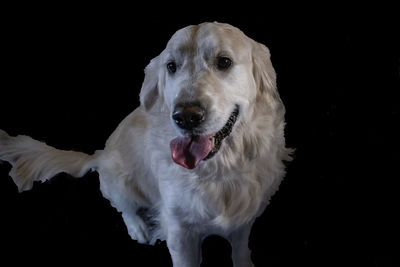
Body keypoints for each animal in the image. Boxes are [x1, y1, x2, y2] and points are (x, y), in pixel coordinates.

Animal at [0, 22, 294, 266]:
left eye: (224, 62)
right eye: (171, 66)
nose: (185, 117)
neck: (219, 169)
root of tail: (99, 154)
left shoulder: (244, 219)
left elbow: (241, 250)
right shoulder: (179, 232)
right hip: (119, 179)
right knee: (123, 206)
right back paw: (138, 228)